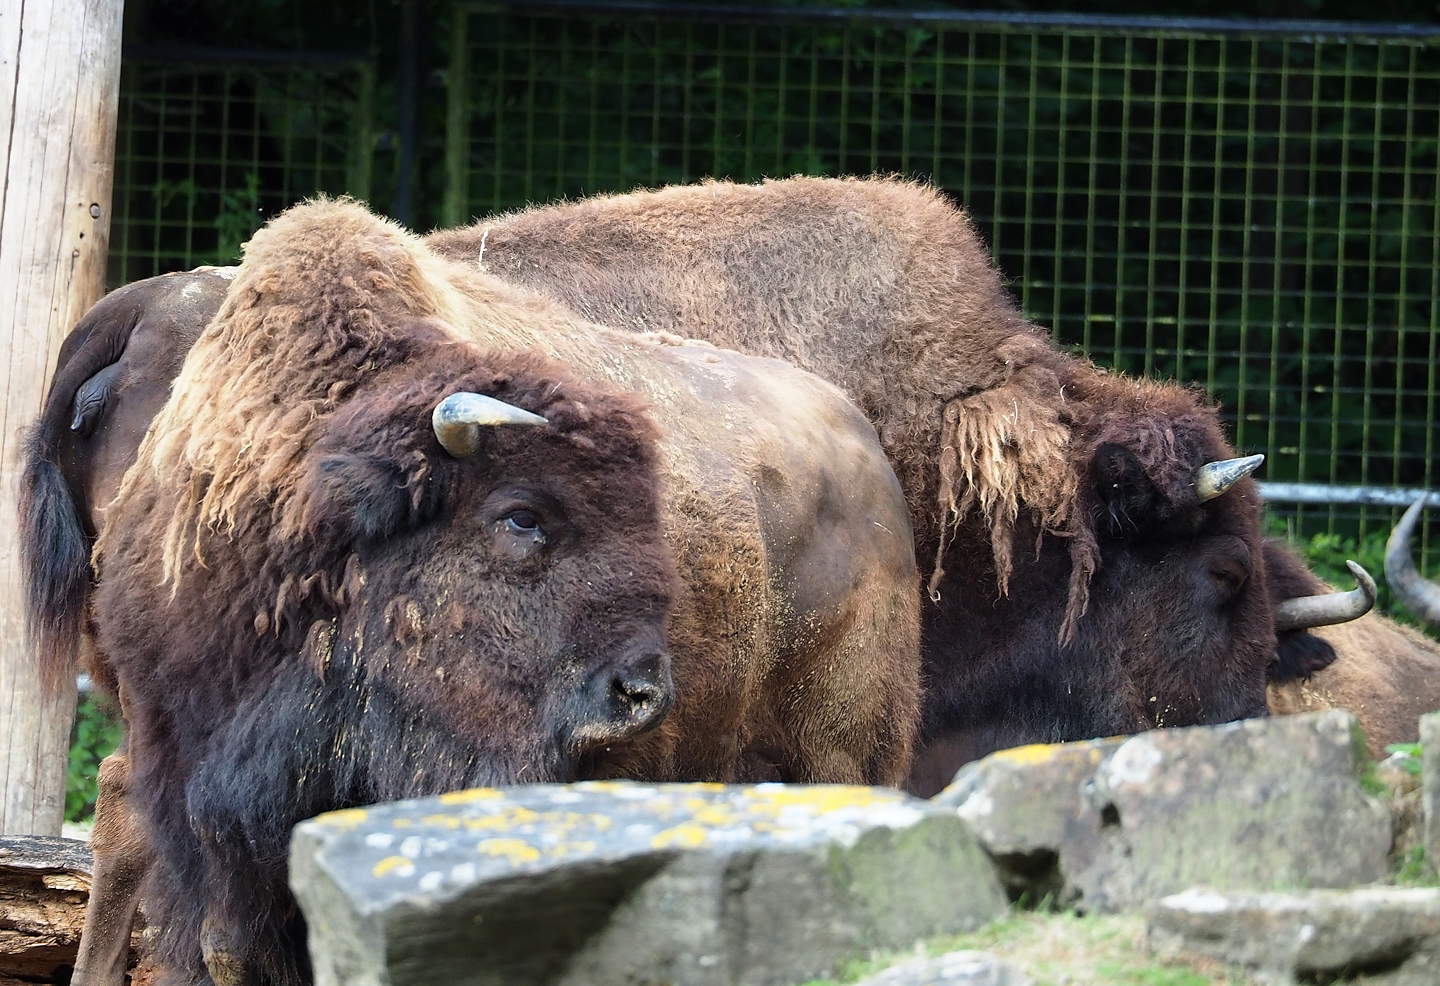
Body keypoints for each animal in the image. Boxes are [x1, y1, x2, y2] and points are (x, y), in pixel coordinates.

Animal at [23, 200, 920, 985]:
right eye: (522, 517)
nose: (639, 694)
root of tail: (869, 457)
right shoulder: (194, 766)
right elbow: (230, 940)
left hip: (838, 747)